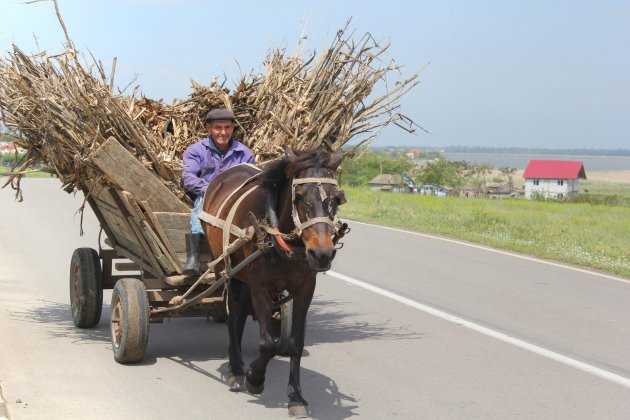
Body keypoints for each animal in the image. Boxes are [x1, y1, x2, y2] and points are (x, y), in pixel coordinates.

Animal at [202, 148, 348, 416]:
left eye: (336, 197)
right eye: (299, 196)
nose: (322, 254)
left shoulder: (305, 289)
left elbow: (296, 343)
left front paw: (296, 398)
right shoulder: (260, 287)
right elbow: (268, 343)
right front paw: (254, 378)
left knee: (239, 313)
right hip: (225, 270)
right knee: (231, 314)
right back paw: (236, 369)